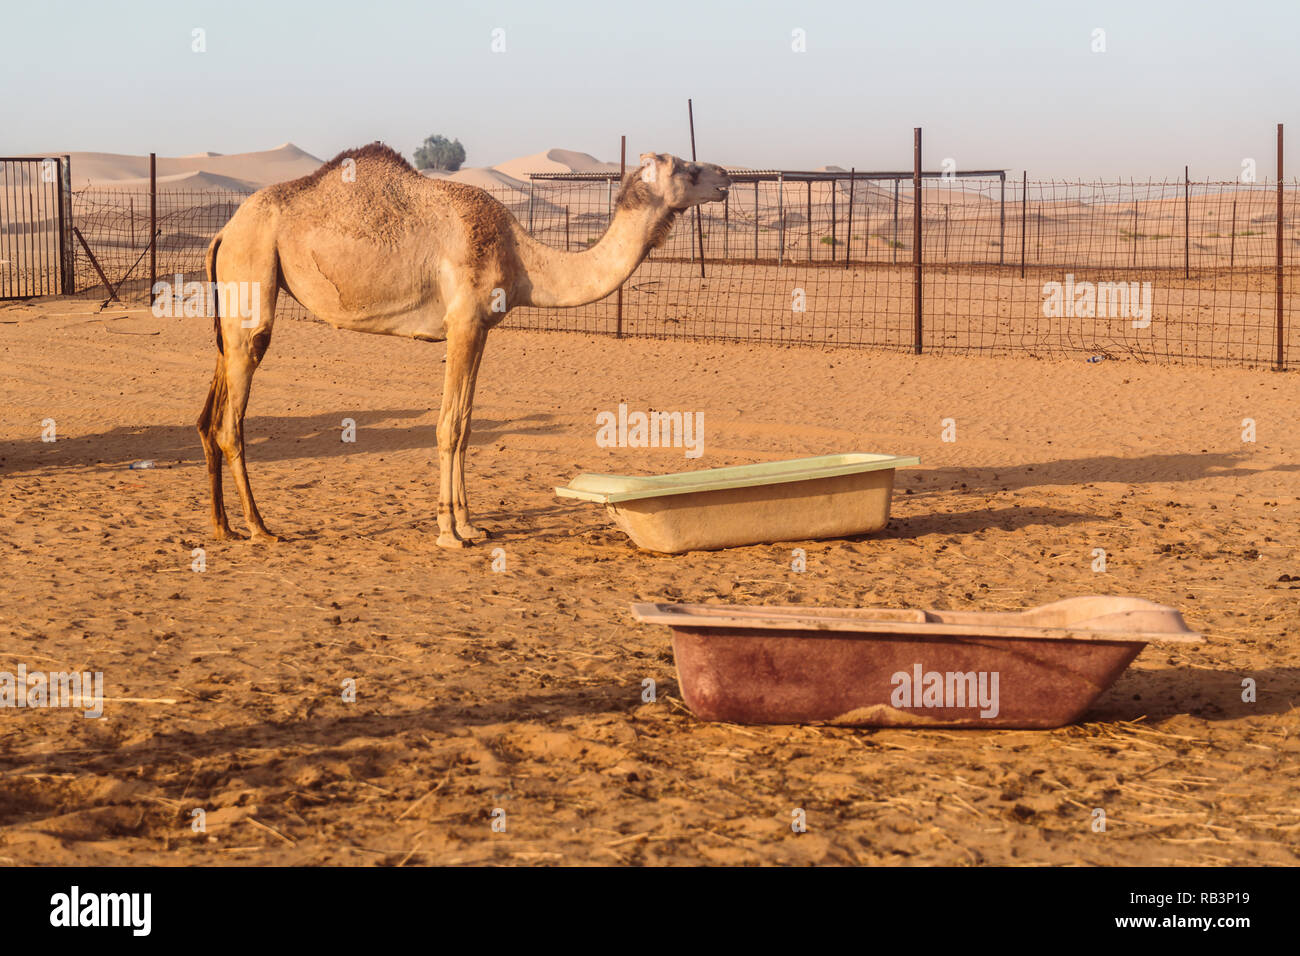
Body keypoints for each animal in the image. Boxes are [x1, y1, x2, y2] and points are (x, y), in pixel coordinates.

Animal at [201, 141, 733, 546]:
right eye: (687, 168)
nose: (726, 175)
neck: (524, 260)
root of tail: (224, 231)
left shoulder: (481, 329)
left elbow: (467, 426)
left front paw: (472, 526)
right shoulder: (463, 324)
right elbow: (448, 426)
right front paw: (448, 532)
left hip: (232, 303)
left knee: (212, 409)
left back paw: (223, 527)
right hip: (253, 269)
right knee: (233, 417)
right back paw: (260, 528)